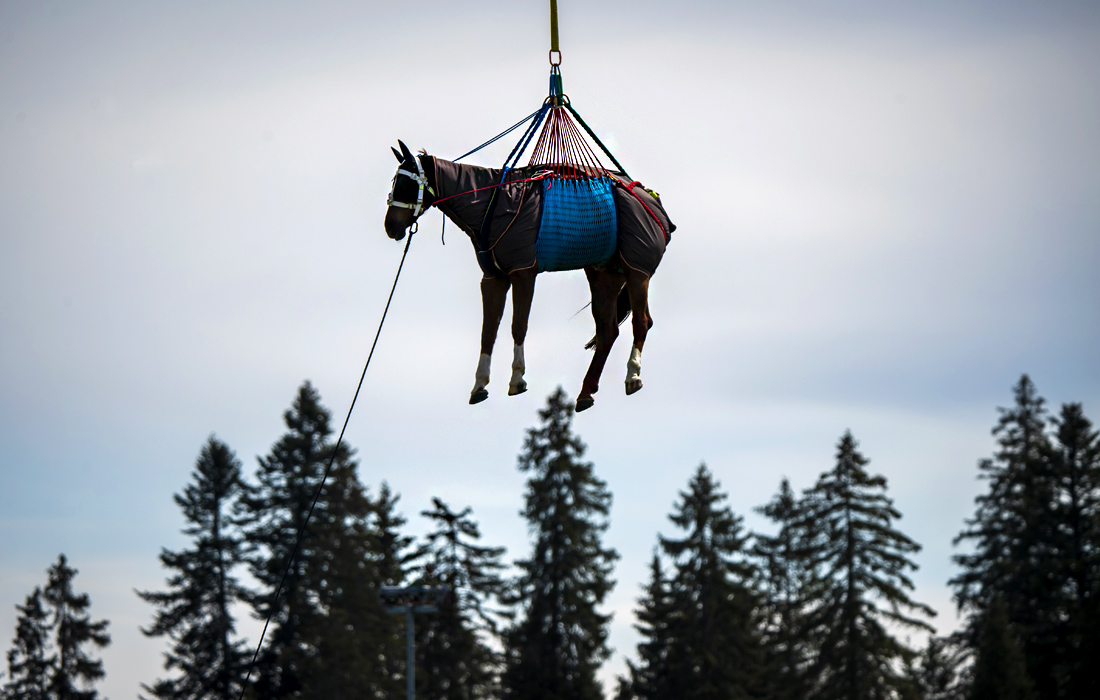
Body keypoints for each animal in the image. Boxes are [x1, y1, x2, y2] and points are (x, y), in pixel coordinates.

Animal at [383, 140, 673, 412]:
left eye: (405, 184)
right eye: (395, 182)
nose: (390, 226)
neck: (492, 202)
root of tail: (651, 200)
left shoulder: (523, 273)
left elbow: (518, 326)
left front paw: (517, 378)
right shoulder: (493, 279)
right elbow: (488, 331)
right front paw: (479, 384)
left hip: (637, 271)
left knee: (641, 321)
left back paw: (632, 375)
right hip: (605, 274)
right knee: (607, 330)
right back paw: (586, 392)